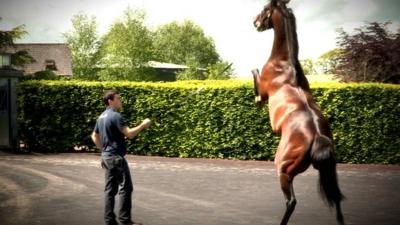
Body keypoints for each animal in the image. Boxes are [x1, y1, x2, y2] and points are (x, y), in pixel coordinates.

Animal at [253, 0, 344, 225]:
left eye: (265, 7)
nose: (255, 22)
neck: (284, 64)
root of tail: (318, 137)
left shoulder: (263, 92)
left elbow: (254, 74)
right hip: (327, 170)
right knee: (337, 200)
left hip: (284, 169)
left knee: (291, 201)